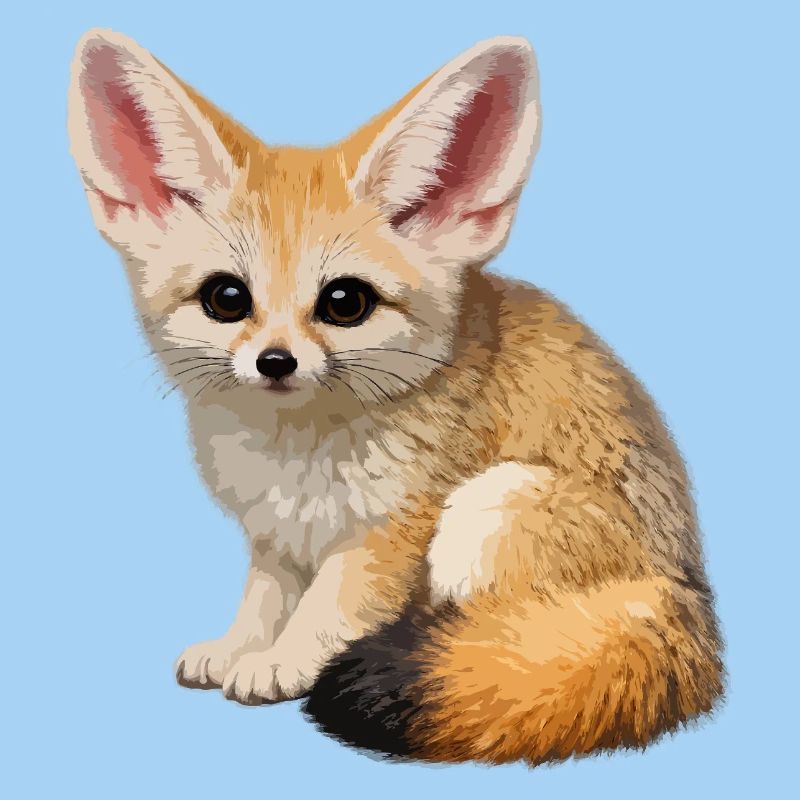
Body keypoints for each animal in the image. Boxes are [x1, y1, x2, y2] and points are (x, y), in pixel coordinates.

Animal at [67, 29, 723, 765]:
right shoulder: (275, 537)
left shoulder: (389, 533)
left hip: (488, 507)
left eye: (344, 302)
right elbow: (265, 598)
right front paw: (240, 646)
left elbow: (329, 609)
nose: (275, 362)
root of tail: (688, 594)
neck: (294, 454)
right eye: (227, 298)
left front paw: (283, 661)